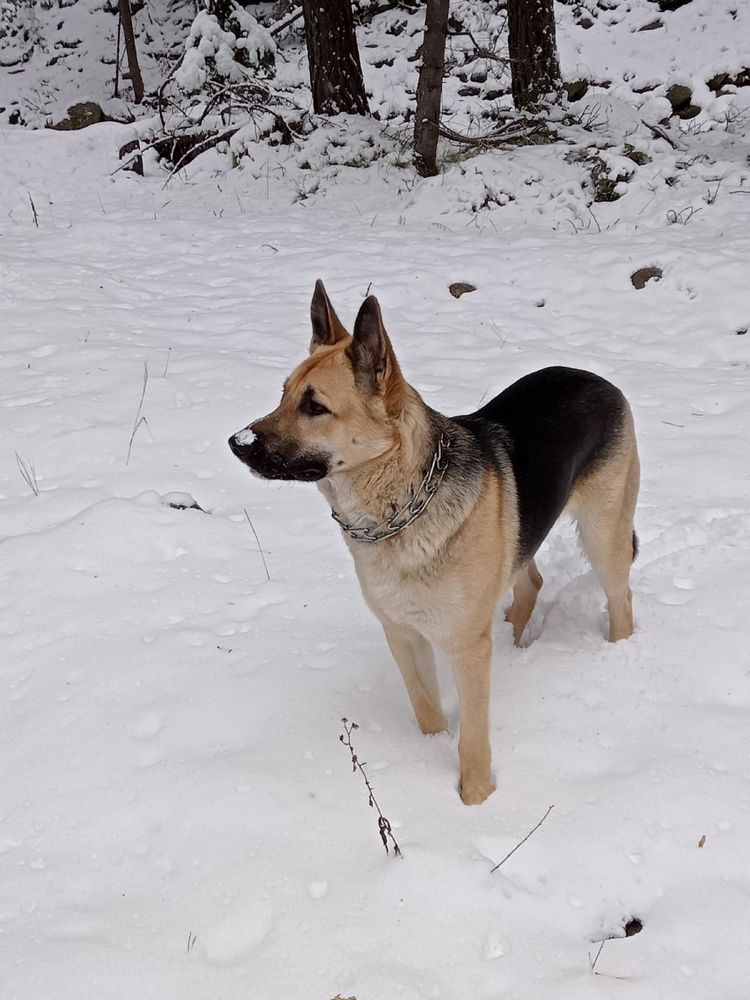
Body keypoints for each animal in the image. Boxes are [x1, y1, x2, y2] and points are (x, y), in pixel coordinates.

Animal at [229, 282, 640, 804]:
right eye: (283, 395)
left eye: (314, 407)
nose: (236, 442)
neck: (398, 508)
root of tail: (597, 378)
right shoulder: (403, 636)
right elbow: (427, 711)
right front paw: (428, 758)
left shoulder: (466, 651)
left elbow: (474, 738)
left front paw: (476, 799)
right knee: (531, 580)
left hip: (604, 535)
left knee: (621, 597)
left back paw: (618, 654)